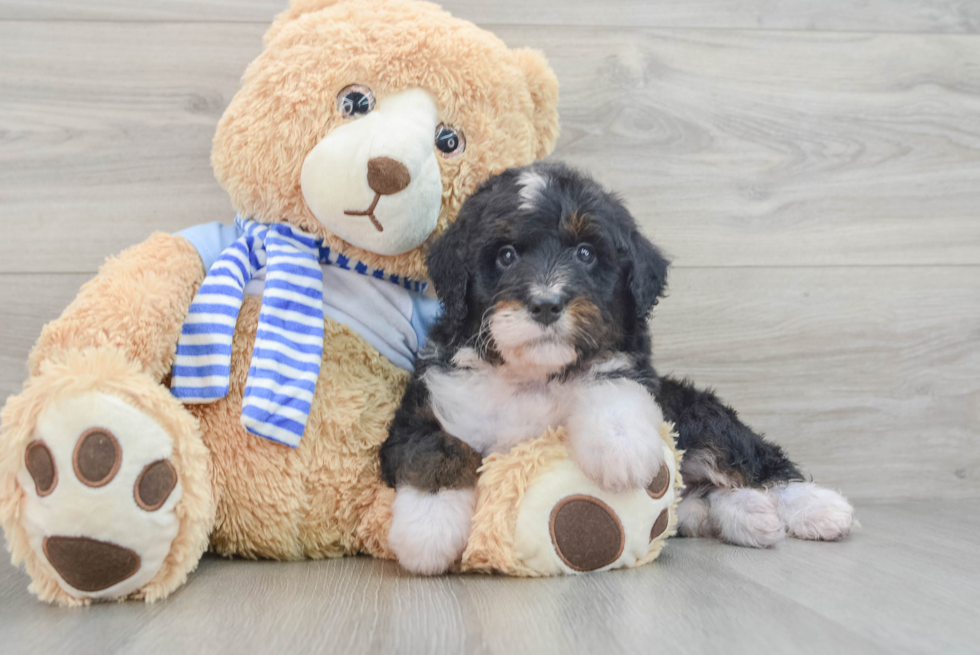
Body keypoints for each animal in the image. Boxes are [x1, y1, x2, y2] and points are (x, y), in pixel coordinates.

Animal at [378, 163, 852, 576]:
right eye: (506, 255)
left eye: (586, 253)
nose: (546, 304)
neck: (534, 375)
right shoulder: (425, 407)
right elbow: (435, 449)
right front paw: (428, 531)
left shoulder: (632, 371)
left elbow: (611, 383)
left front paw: (620, 447)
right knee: (700, 499)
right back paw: (749, 515)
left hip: (700, 416)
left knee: (755, 463)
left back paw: (817, 508)